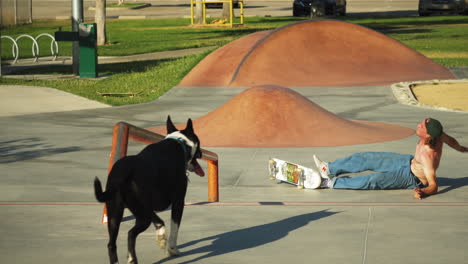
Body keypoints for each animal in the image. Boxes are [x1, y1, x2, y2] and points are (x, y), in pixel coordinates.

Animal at [94, 116, 204, 262]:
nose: (201, 153)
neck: (180, 143)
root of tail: (124, 171)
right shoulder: (178, 201)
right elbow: (174, 228)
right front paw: (172, 249)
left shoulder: (146, 206)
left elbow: (159, 221)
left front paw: (161, 236)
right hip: (141, 215)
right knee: (131, 234)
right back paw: (132, 259)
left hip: (115, 213)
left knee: (111, 243)